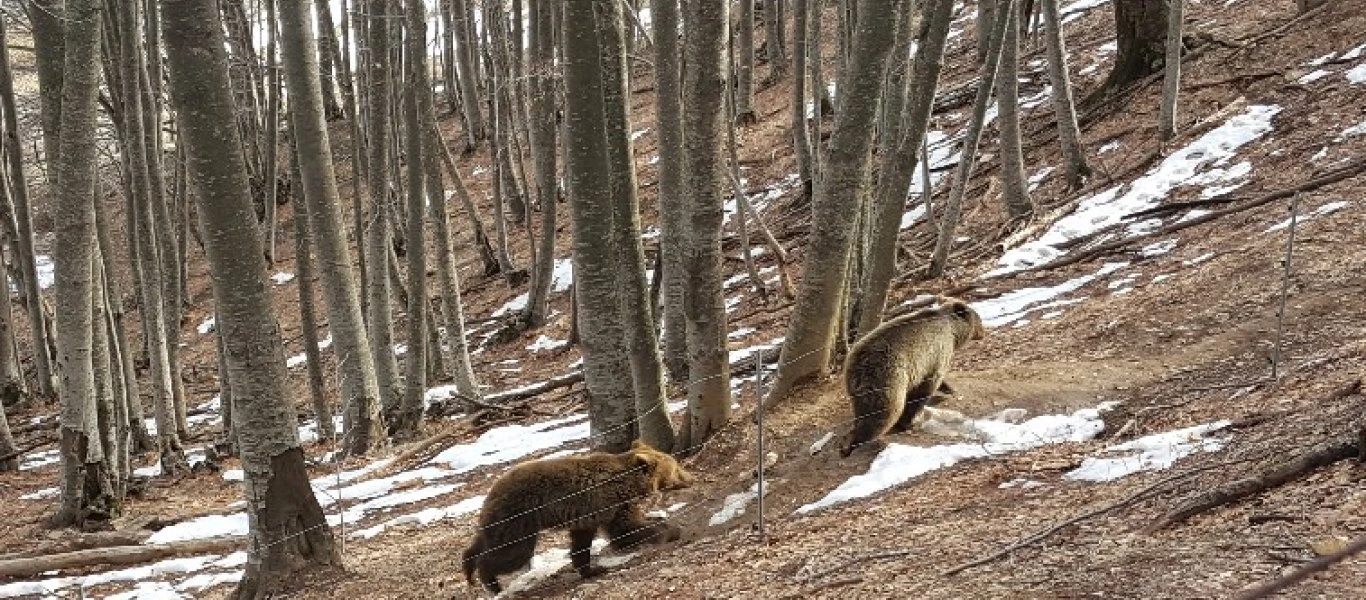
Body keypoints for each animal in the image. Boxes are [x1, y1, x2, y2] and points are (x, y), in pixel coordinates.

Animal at [461, 442, 693, 595]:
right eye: (676, 467)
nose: (691, 477)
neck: (627, 484)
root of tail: (492, 490)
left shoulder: (588, 515)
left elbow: (582, 544)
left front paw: (591, 569)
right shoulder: (610, 503)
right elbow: (625, 530)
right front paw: (670, 530)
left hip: (501, 520)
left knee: (483, 542)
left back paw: (469, 568)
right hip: (519, 516)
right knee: (512, 552)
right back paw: (491, 582)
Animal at [835, 297, 988, 459]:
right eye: (979, 319)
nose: (984, 332)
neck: (953, 332)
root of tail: (857, 362)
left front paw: (950, 389)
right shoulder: (935, 356)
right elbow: (925, 388)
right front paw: (909, 422)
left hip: (856, 386)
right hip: (887, 377)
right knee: (884, 413)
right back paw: (857, 442)